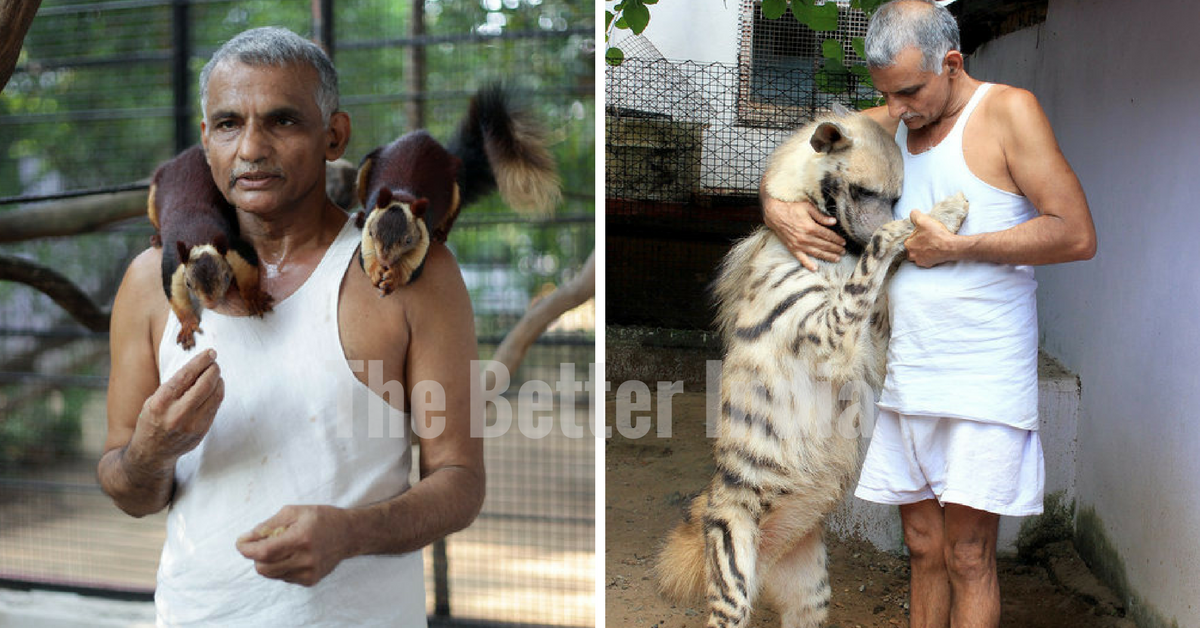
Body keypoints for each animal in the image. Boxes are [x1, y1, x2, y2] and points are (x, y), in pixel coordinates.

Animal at [146, 145, 273, 350]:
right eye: (189, 284)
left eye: (227, 276)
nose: (212, 304)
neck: (198, 238)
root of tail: (187, 153)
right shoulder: (173, 263)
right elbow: (175, 294)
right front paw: (188, 325)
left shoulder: (234, 247)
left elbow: (248, 270)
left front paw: (253, 298)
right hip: (153, 194)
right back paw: (156, 238)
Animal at [355, 82, 561, 295]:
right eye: (371, 234)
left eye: (408, 241)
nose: (385, 259)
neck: (402, 195)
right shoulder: (372, 219)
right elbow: (366, 256)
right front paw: (375, 270)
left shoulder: (424, 228)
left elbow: (412, 268)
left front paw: (393, 277)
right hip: (367, 164)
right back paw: (359, 217)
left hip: (456, 187)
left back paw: (441, 234)